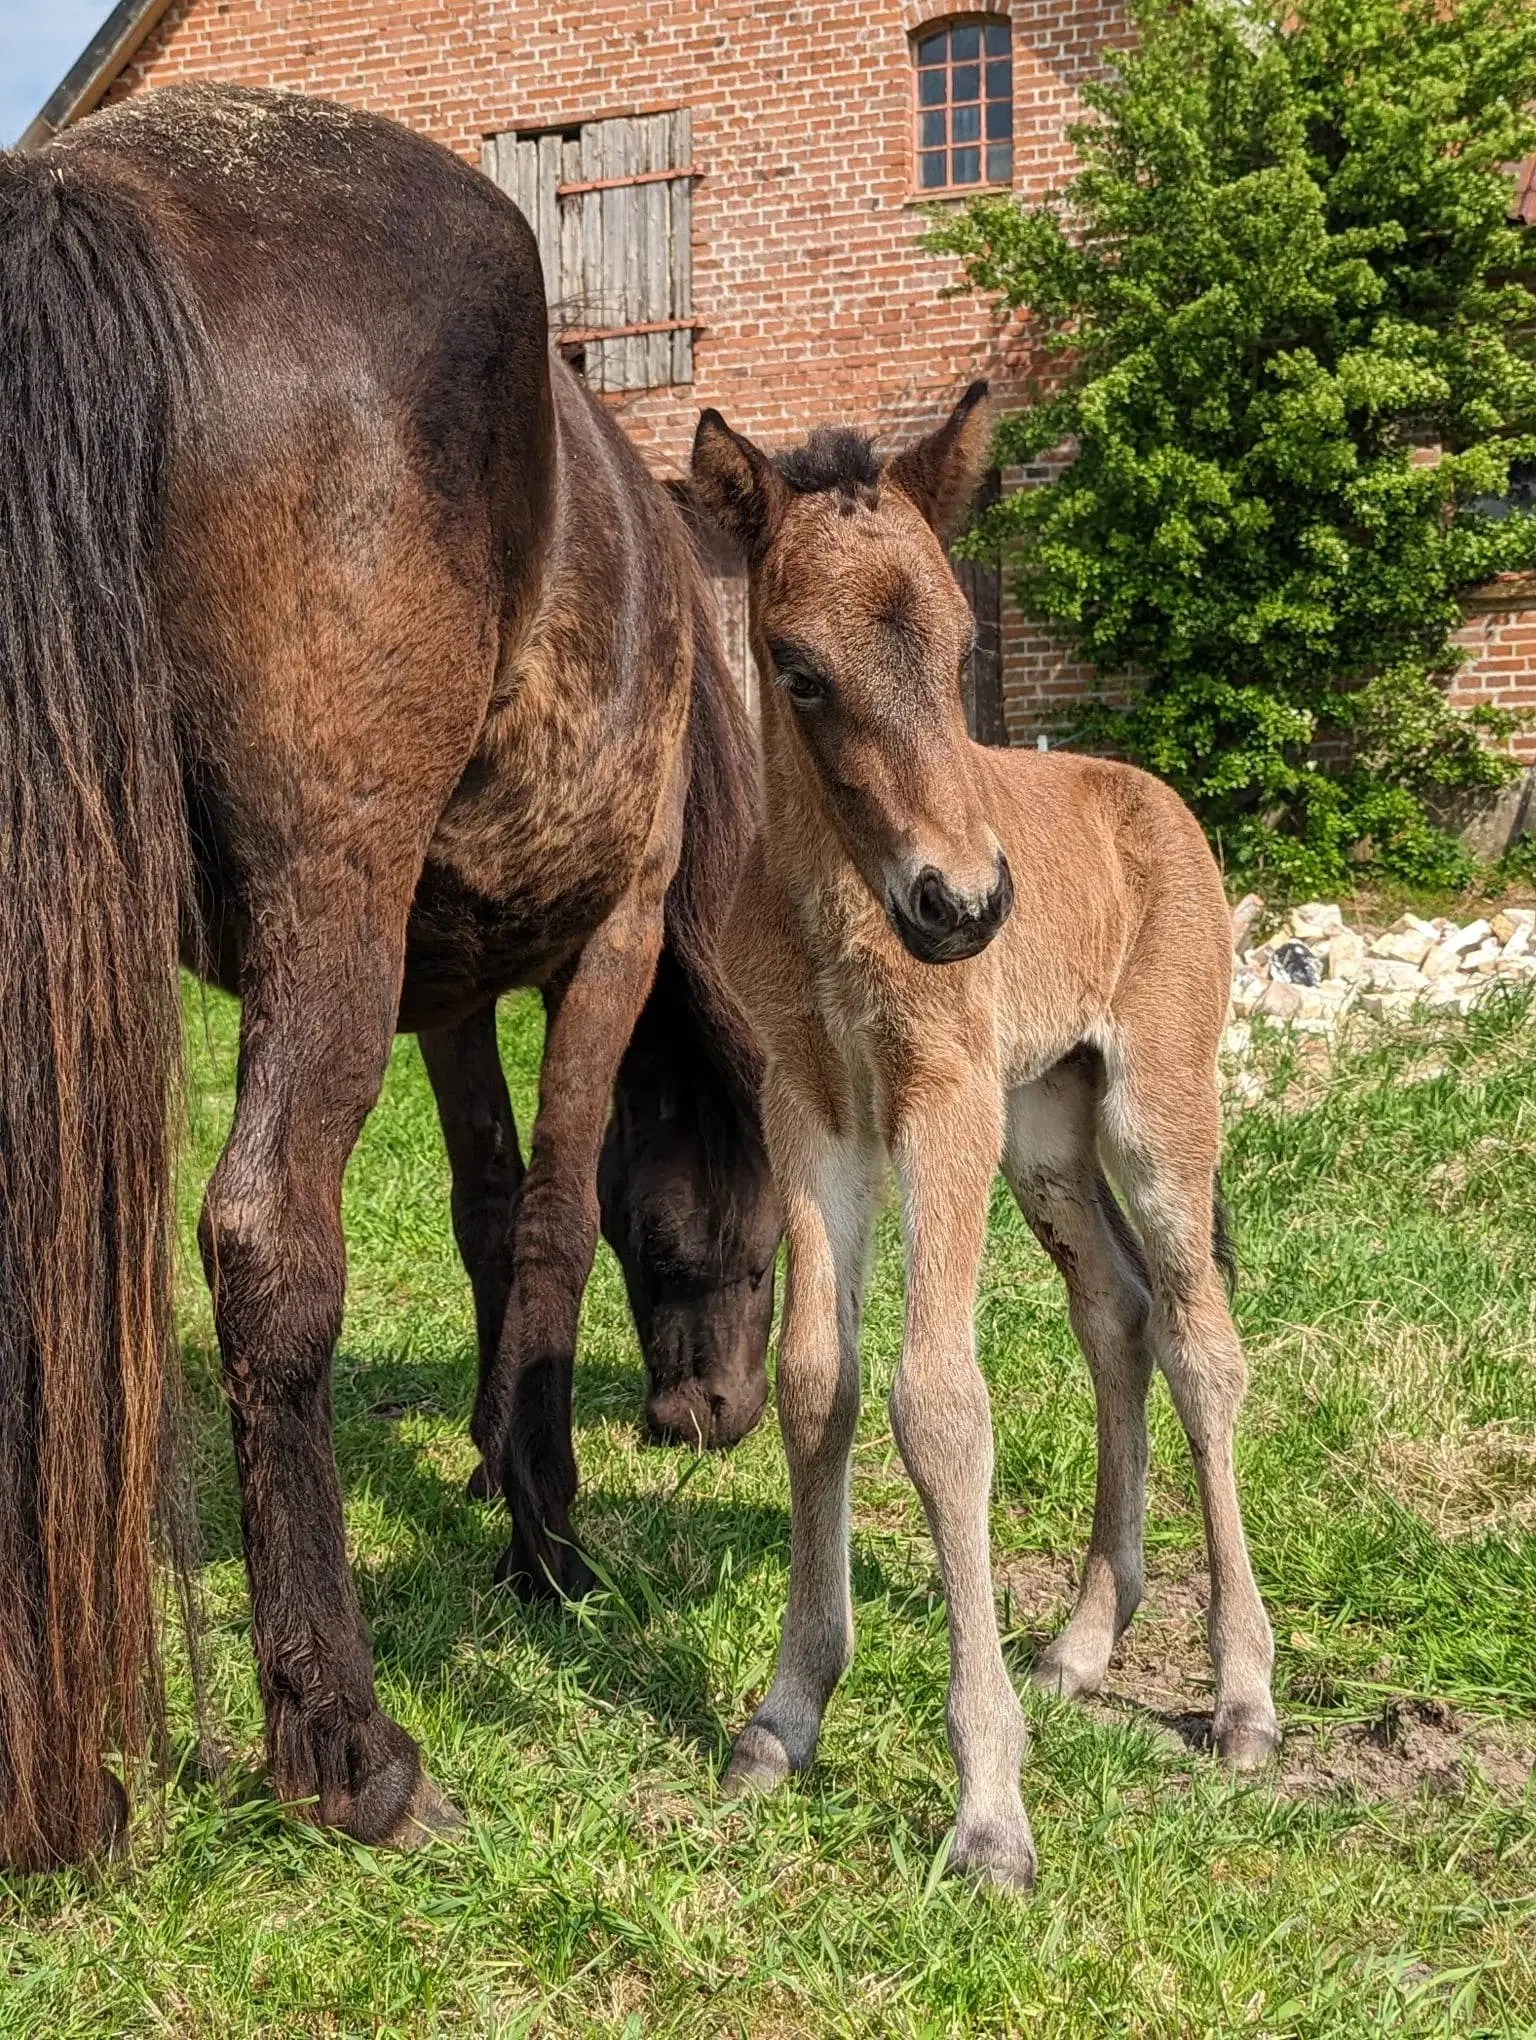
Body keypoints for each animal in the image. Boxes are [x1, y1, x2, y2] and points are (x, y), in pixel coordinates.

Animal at [689, 385, 1272, 1893]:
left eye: (962, 652)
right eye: (798, 670)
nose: (961, 907)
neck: (837, 906)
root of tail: (1156, 800)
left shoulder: (939, 1100)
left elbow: (940, 1404)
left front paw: (991, 1806)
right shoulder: (811, 1110)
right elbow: (817, 1380)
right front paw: (785, 1715)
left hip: (1153, 1111)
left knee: (1202, 1343)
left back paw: (1244, 1696)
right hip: (1047, 1134)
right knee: (1119, 1316)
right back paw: (1082, 1644)